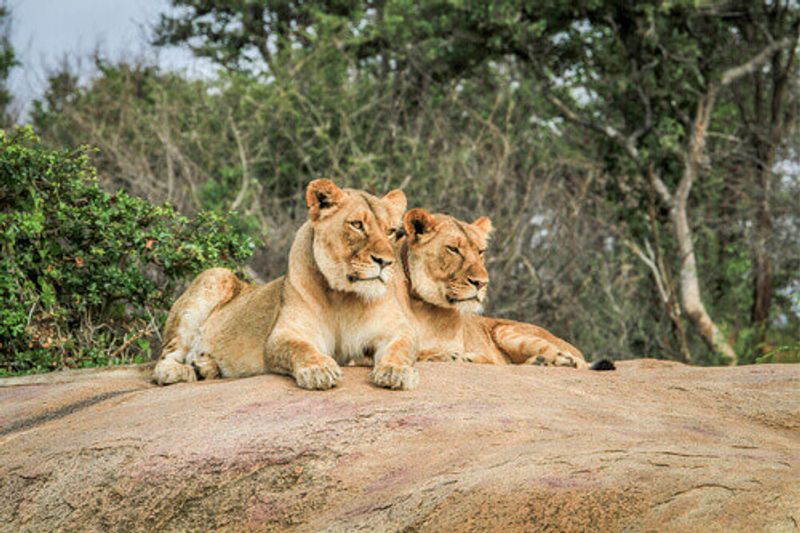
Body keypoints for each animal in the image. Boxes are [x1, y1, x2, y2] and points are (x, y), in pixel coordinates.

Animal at [152, 177, 422, 388]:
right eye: (357, 225)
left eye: (391, 231)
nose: (385, 262)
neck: (345, 296)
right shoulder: (284, 334)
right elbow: (300, 349)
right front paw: (319, 370)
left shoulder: (398, 330)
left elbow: (401, 348)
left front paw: (396, 372)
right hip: (215, 275)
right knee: (164, 361)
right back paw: (181, 370)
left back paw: (205, 366)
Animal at [400, 208, 612, 370]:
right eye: (453, 249)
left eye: (480, 251)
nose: (481, 283)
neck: (423, 307)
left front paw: (454, 356)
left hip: (507, 331)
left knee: (574, 361)